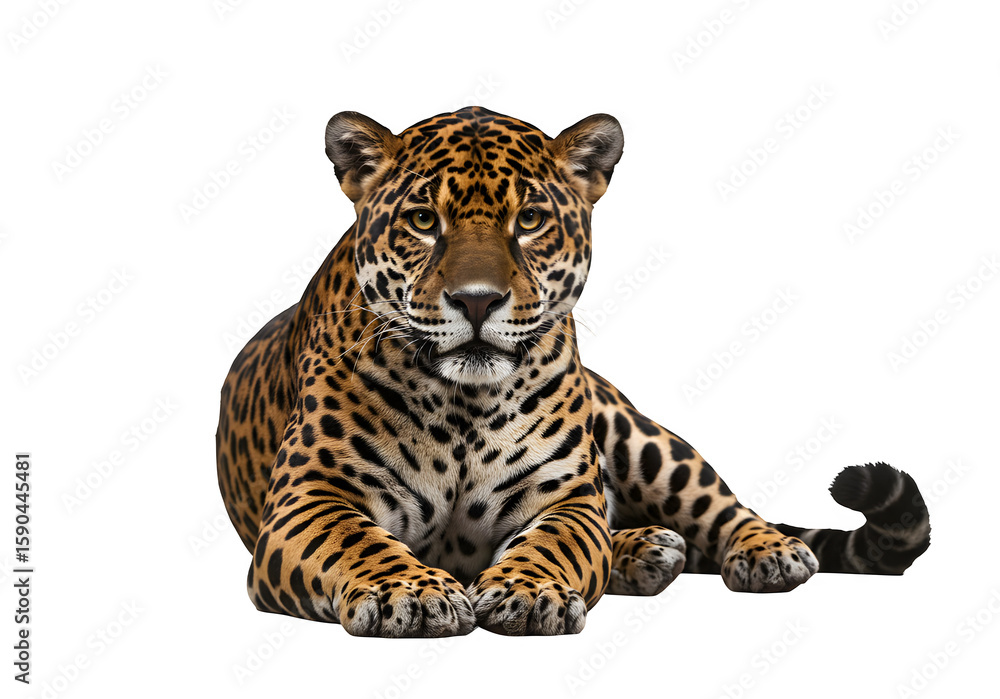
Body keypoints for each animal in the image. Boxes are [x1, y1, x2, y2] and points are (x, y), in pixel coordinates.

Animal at [215, 106, 931, 637]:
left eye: (529, 220)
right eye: (422, 220)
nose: (477, 300)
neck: (461, 403)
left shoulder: (566, 498)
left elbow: (558, 542)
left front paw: (528, 593)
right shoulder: (307, 498)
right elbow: (357, 542)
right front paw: (411, 593)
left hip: (636, 434)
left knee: (720, 503)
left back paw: (760, 551)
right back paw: (649, 551)